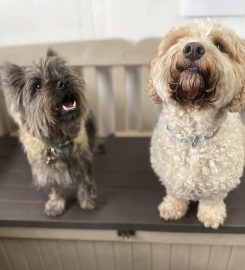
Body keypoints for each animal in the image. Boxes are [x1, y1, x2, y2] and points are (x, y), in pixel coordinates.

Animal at [2, 50, 97, 215]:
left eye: (62, 71)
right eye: (37, 86)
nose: (64, 82)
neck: (58, 140)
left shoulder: (83, 162)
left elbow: (85, 182)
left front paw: (87, 201)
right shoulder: (45, 171)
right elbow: (53, 187)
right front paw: (55, 204)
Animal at [146, 20, 245, 229]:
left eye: (219, 45)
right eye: (179, 39)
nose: (193, 48)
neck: (192, 135)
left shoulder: (220, 181)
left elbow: (212, 200)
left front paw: (211, 215)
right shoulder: (170, 176)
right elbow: (175, 194)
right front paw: (172, 208)